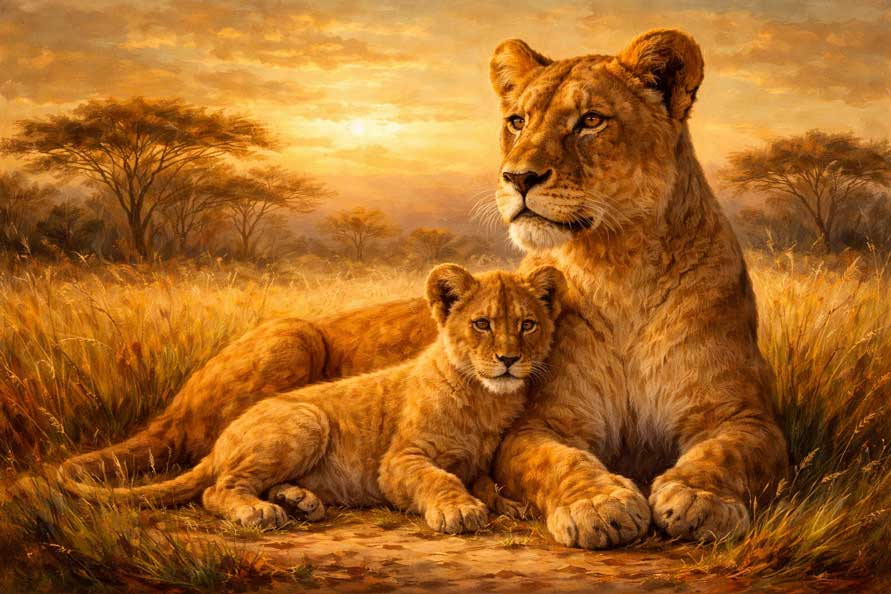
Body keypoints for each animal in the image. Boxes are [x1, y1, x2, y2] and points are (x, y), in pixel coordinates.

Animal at [61, 264, 565, 533]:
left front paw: (510, 505)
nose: (508, 359)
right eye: (482, 324)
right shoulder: (397, 462)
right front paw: (459, 510)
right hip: (304, 406)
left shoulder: (479, 462)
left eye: (527, 325)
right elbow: (439, 479)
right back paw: (260, 510)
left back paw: (300, 500)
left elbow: (483, 481)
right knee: (216, 488)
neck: (485, 399)